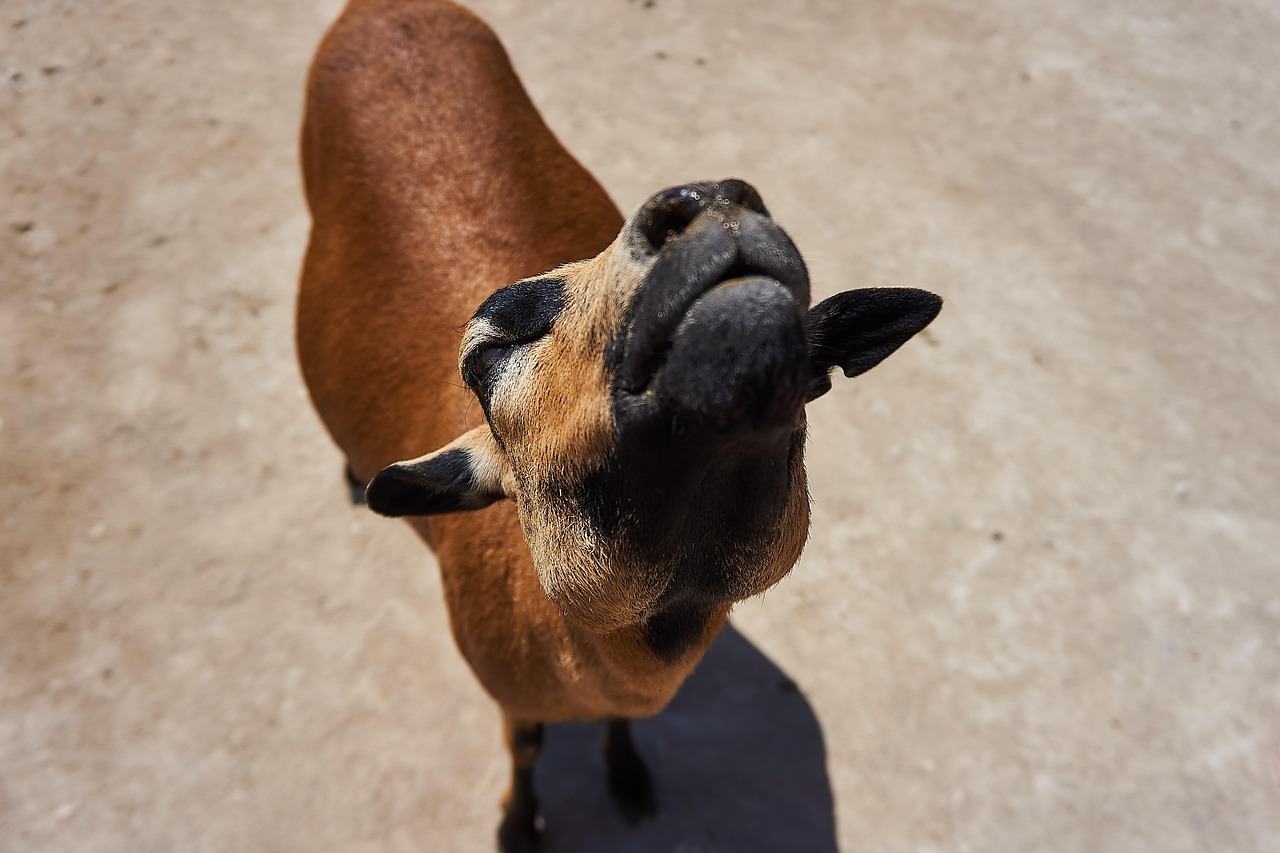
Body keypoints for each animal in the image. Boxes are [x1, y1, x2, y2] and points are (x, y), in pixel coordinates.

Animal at [297, 1, 941, 849]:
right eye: (485, 352)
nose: (714, 199)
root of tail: (381, 10)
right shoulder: (508, 691)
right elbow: (527, 746)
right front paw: (519, 826)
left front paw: (628, 774)